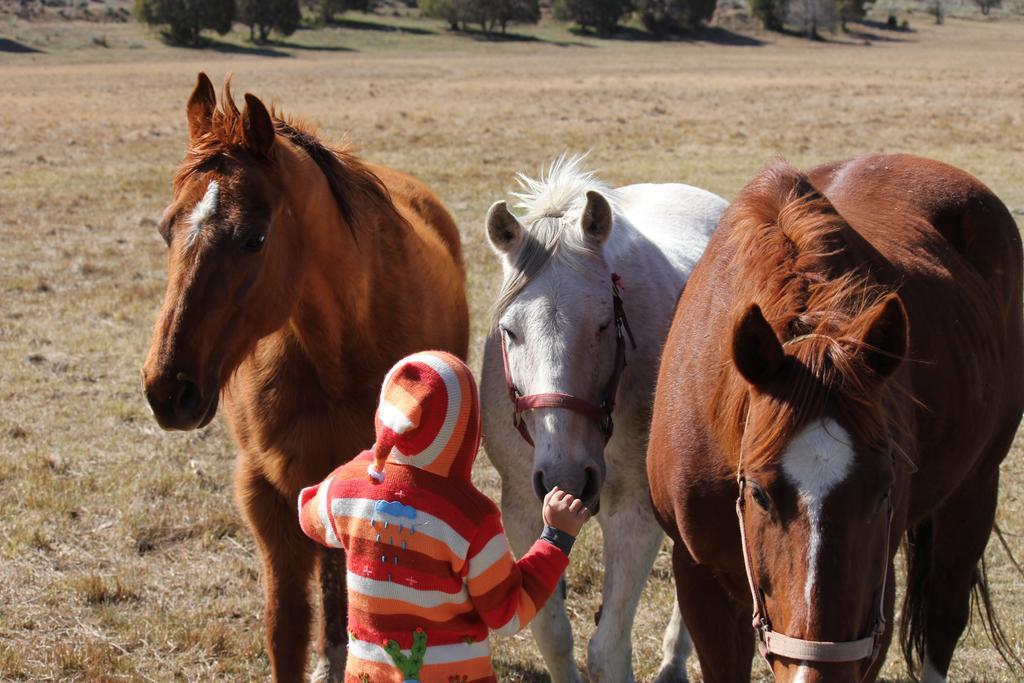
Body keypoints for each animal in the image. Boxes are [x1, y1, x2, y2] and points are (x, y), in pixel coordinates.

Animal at [141, 74, 468, 683]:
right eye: (166, 229)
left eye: (253, 238)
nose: (167, 390)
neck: (334, 350)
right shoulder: (264, 490)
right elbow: (286, 625)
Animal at [481, 156, 729, 683]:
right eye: (509, 331)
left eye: (601, 323)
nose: (566, 476)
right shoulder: (522, 508)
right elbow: (552, 634)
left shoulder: (634, 512)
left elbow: (608, 649)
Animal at [647, 156, 1024, 683]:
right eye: (758, 493)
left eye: (884, 489)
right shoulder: (699, 578)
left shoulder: (872, 607)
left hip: (975, 490)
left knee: (942, 619)